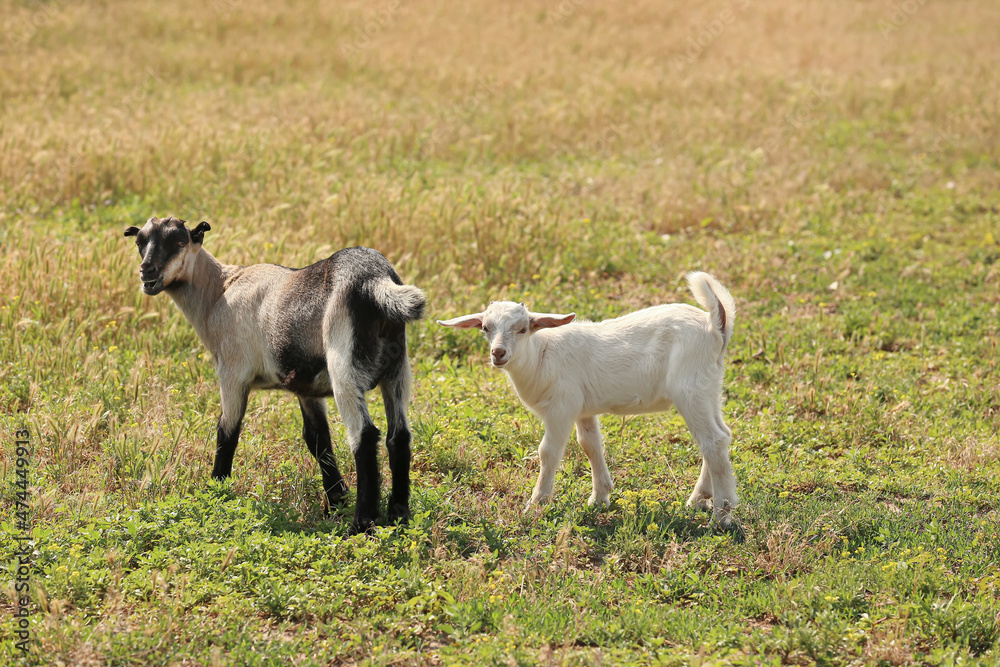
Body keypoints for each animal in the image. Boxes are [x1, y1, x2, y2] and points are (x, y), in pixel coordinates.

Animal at [123, 216, 425, 533]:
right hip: (397, 367)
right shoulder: (307, 388)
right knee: (399, 435)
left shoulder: (232, 373)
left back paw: (362, 525)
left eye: (180, 242)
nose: (147, 271)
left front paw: (216, 493)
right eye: (140, 242)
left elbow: (227, 431)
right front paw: (335, 503)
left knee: (364, 436)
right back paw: (399, 515)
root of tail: (376, 281)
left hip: (344, 365)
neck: (219, 292)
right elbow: (317, 439)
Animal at [438, 272, 738, 526]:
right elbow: (590, 444)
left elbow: (548, 451)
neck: (541, 355)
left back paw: (722, 514)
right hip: (709, 387)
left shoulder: (561, 407)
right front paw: (600, 497)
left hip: (689, 388)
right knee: (721, 436)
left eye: (523, 329)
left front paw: (537, 503)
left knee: (712, 440)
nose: (498, 353)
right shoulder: (582, 408)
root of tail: (715, 326)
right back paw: (699, 499)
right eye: (485, 328)